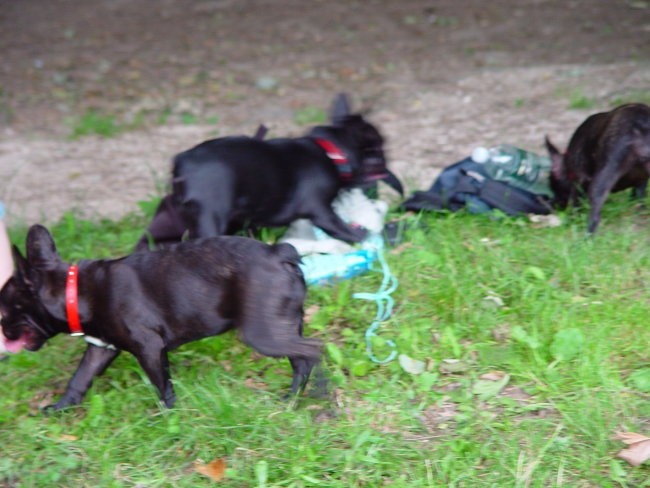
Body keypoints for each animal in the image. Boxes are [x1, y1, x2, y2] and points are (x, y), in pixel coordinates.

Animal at [0, 225, 322, 412]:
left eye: (3, 313)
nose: (2, 331)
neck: (74, 291)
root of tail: (280, 252)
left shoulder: (149, 347)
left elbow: (161, 384)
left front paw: (168, 414)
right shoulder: (100, 348)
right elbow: (80, 377)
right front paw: (61, 406)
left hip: (263, 333)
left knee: (313, 350)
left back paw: (321, 391)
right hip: (282, 326)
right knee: (301, 359)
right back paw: (292, 399)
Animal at [136, 93, 400, 250]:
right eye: (378, 151)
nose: (386, 160)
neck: (330, 150)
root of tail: (182, 165)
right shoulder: (319, 209)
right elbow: (337, 226)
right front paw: (360, 238)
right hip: (211, 215)